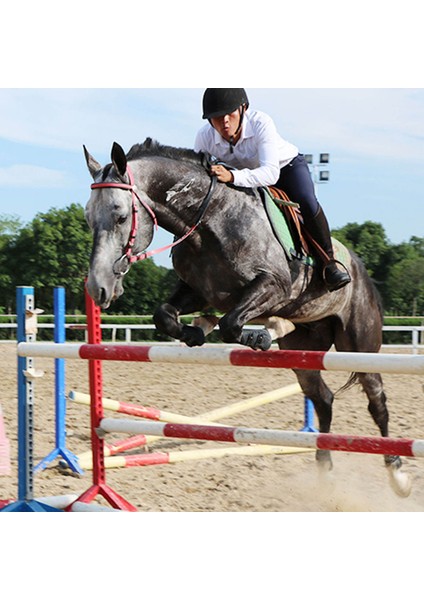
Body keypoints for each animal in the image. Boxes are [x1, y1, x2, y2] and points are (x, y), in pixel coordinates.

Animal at [82, 139, 410, 496]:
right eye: (88, 217)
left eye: (120, 216)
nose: (97, 287)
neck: (211, 219)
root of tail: (358, 266)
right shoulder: (200, 292)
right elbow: (165, 315)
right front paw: (196, 332)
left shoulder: (275, 286)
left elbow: (230, 323)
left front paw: (257, 335)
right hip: (302, 350)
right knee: (322, 399)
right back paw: (325, 472)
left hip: (360, 345)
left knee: (376, 399)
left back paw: (398, 475)